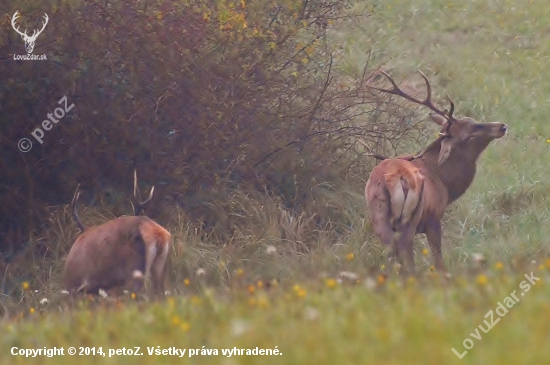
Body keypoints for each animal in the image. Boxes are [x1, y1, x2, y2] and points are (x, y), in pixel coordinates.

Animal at [366, 70, 508, 270]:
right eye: (468, 136)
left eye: (473, 120)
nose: (501, 126)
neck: (444, 182)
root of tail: (395, 178)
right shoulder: (434, 218)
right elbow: (439, 260)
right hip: (412, 216)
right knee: (405, 250)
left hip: (378, 213)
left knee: (391, 252)